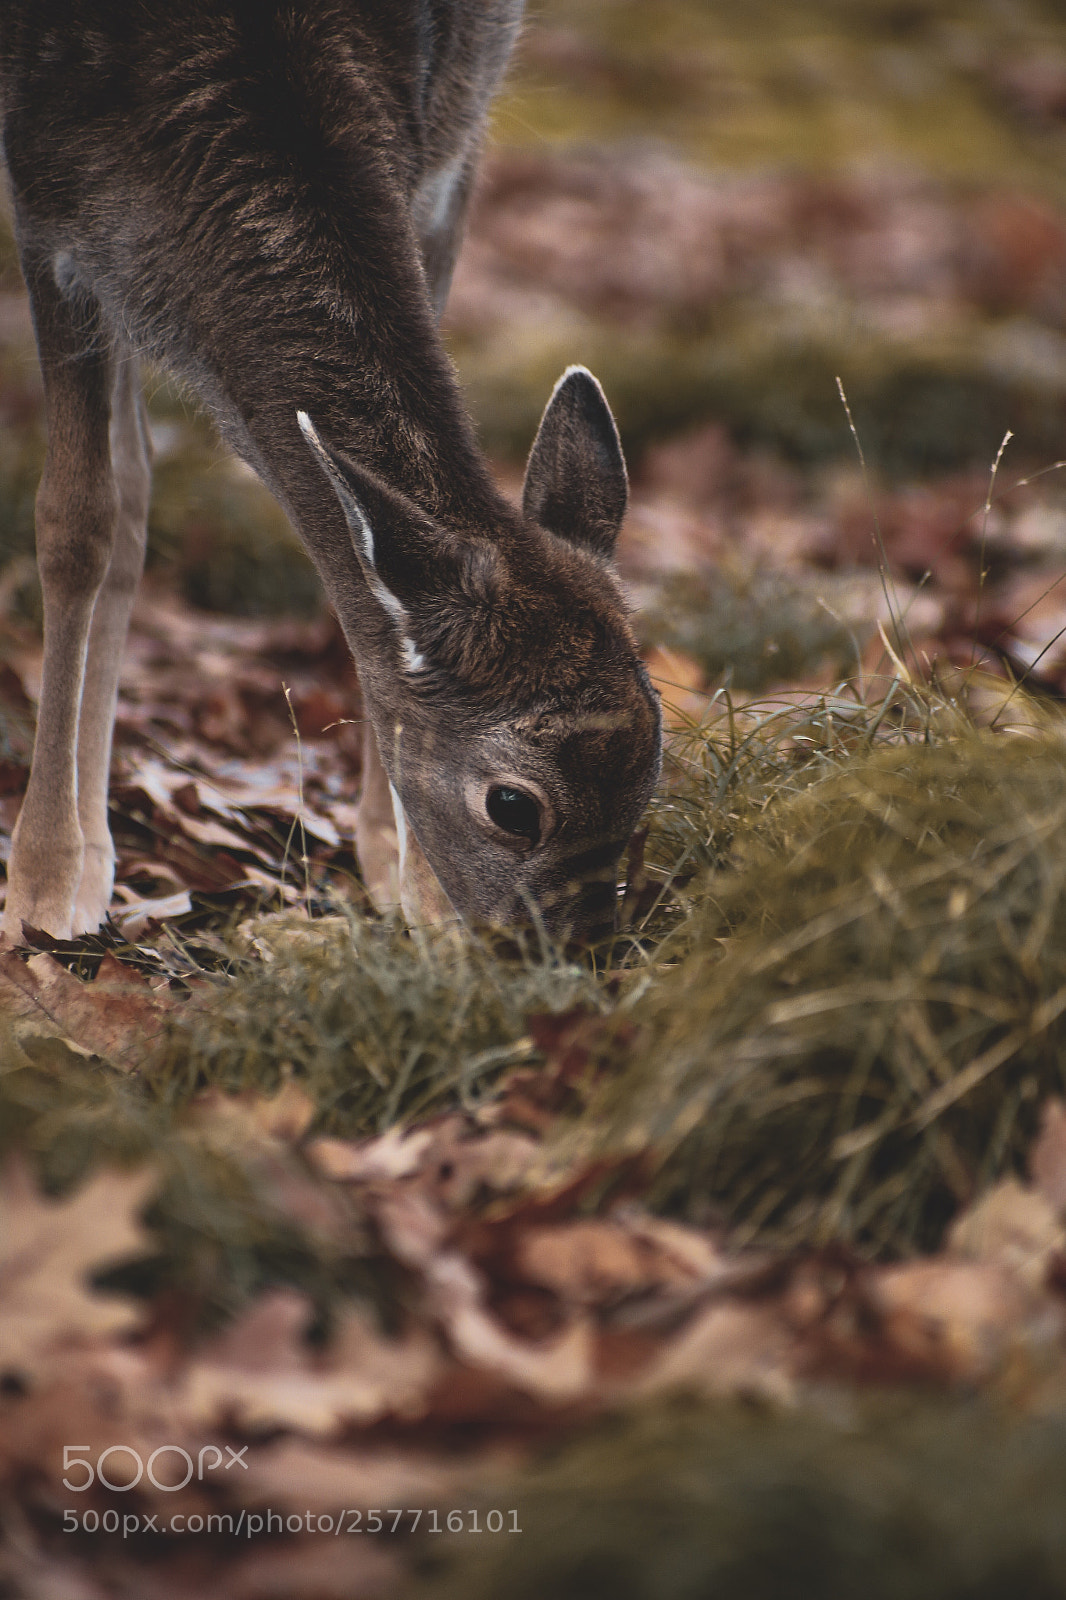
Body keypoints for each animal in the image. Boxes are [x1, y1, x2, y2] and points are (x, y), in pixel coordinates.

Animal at [0, 0, 662, 949]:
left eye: (654, 770)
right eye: (513, 804)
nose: (567, 955)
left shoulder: (436, 147)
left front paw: (415, 886)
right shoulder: (45, 207)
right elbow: (78, 520)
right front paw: (44, 882)